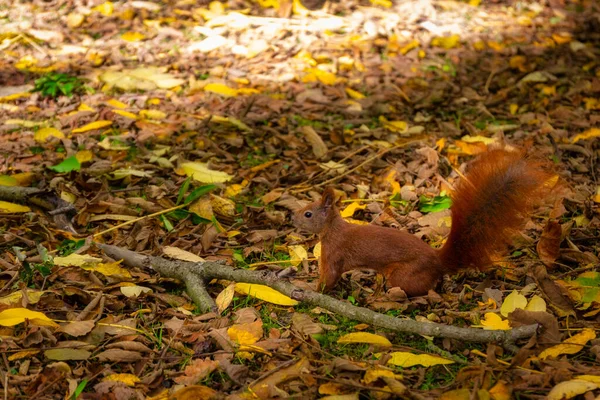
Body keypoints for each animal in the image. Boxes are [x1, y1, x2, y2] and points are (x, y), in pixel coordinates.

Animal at [292, 148, 552, 296]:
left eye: (308, 214)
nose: (292, 217)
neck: (333, 229)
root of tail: (438, 262)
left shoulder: (335, 252)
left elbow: (329, 277)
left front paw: (310, 289)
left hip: (403, 275)